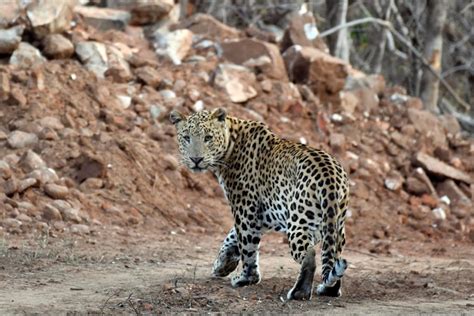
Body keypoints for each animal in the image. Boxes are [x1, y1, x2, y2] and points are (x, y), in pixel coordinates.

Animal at [169, 107, 348, 300]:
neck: (230, 144)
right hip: (336, 226)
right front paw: (222, 265)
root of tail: (329, 177)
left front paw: (245, 278)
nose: (196, 159)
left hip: (299, 221)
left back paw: (299, 292)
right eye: (186, 137)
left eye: (208, 137)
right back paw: (328, 289)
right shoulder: (262, 216)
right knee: (333, 257)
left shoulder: (245, 210)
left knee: (308, 254)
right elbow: (231, 237)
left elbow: (246, 245)